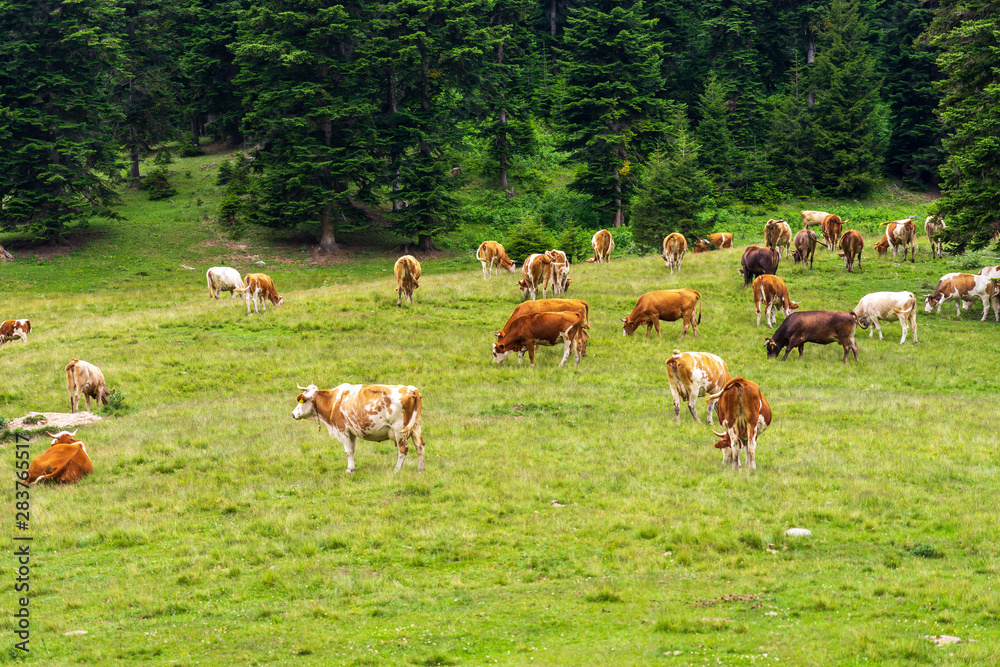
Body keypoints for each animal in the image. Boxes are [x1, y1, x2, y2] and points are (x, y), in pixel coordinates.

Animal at [292, 383, 425, 473]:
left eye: (302, 401)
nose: (293, 414)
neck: (334, 401)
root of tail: (411, 389)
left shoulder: (343, 430)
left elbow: (348, 451)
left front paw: (349, 470)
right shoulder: (352, 432)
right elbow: (352, 450)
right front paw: (352, 468)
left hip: (399, 430)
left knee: (403, 449)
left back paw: (396, 469)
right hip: (416, 426)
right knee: (420, 446)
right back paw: (420, 469)